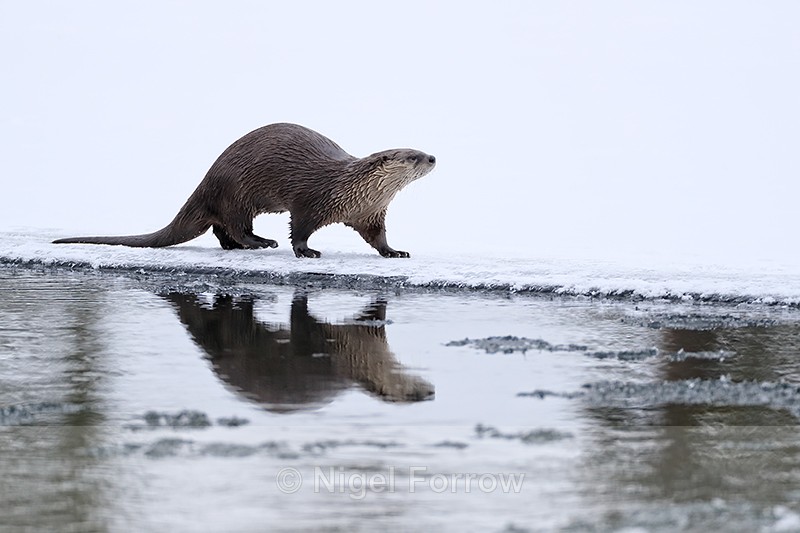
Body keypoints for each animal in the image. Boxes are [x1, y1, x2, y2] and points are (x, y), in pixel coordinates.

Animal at [53, 123, 436, 258]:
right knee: (234, 224)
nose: (433, 157)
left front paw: (394, 252)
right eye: (412, 156)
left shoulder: (370, 213)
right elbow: (300, 228)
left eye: (421, 150)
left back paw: (238, 246)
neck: (350, 189)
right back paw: (260, 242)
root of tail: (207, 179)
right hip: (236, 193)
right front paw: (306, 252)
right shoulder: (310, 201)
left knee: (221, 228)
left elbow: (378, 237)